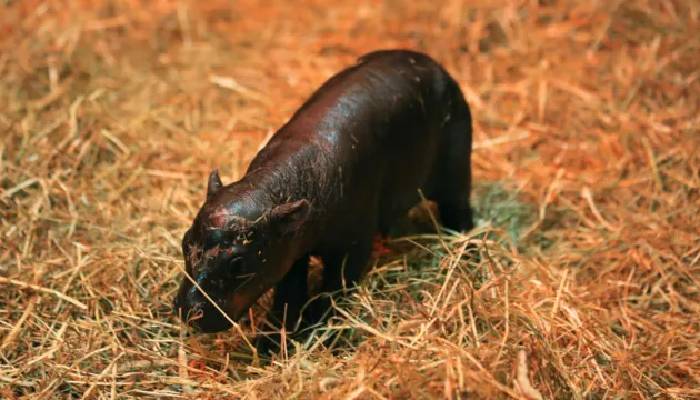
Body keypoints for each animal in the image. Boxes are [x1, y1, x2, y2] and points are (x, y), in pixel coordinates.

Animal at [172, 49, 474, 334]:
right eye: (185, 242)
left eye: (238, 263)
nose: (187, 312)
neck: (272, 189)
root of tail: (436, 66)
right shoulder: (291, 249)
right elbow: (289, 292)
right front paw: (273, 338)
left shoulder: (353, 246)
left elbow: (334, 288)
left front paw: (317, 328)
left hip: (457, 171)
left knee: (459, 209)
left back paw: (465, 248)